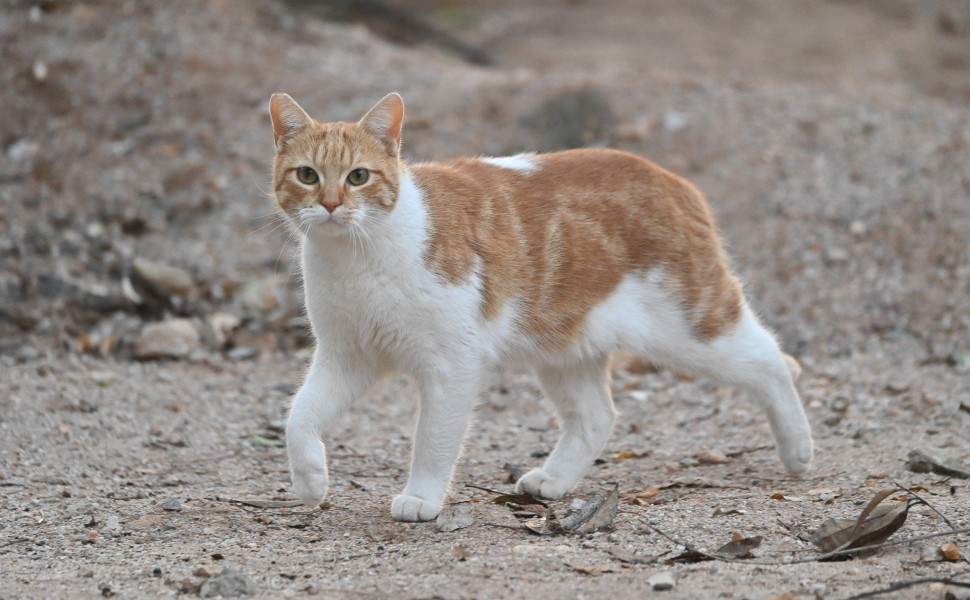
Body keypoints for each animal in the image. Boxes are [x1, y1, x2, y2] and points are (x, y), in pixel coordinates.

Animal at [264, 90, 808, 520]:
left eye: (358, 177)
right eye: (308, 175)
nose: (331, 204)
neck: (357, 256)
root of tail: (670, 177)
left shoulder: (451, 365)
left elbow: (433, 440)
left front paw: (422, 496)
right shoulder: (347, 357)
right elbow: (299, 417)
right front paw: (310, 481)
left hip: (693, 328)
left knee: (772, 360)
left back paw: (798, 449)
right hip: (564, 345)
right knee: (596, 416)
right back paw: (555, 479)